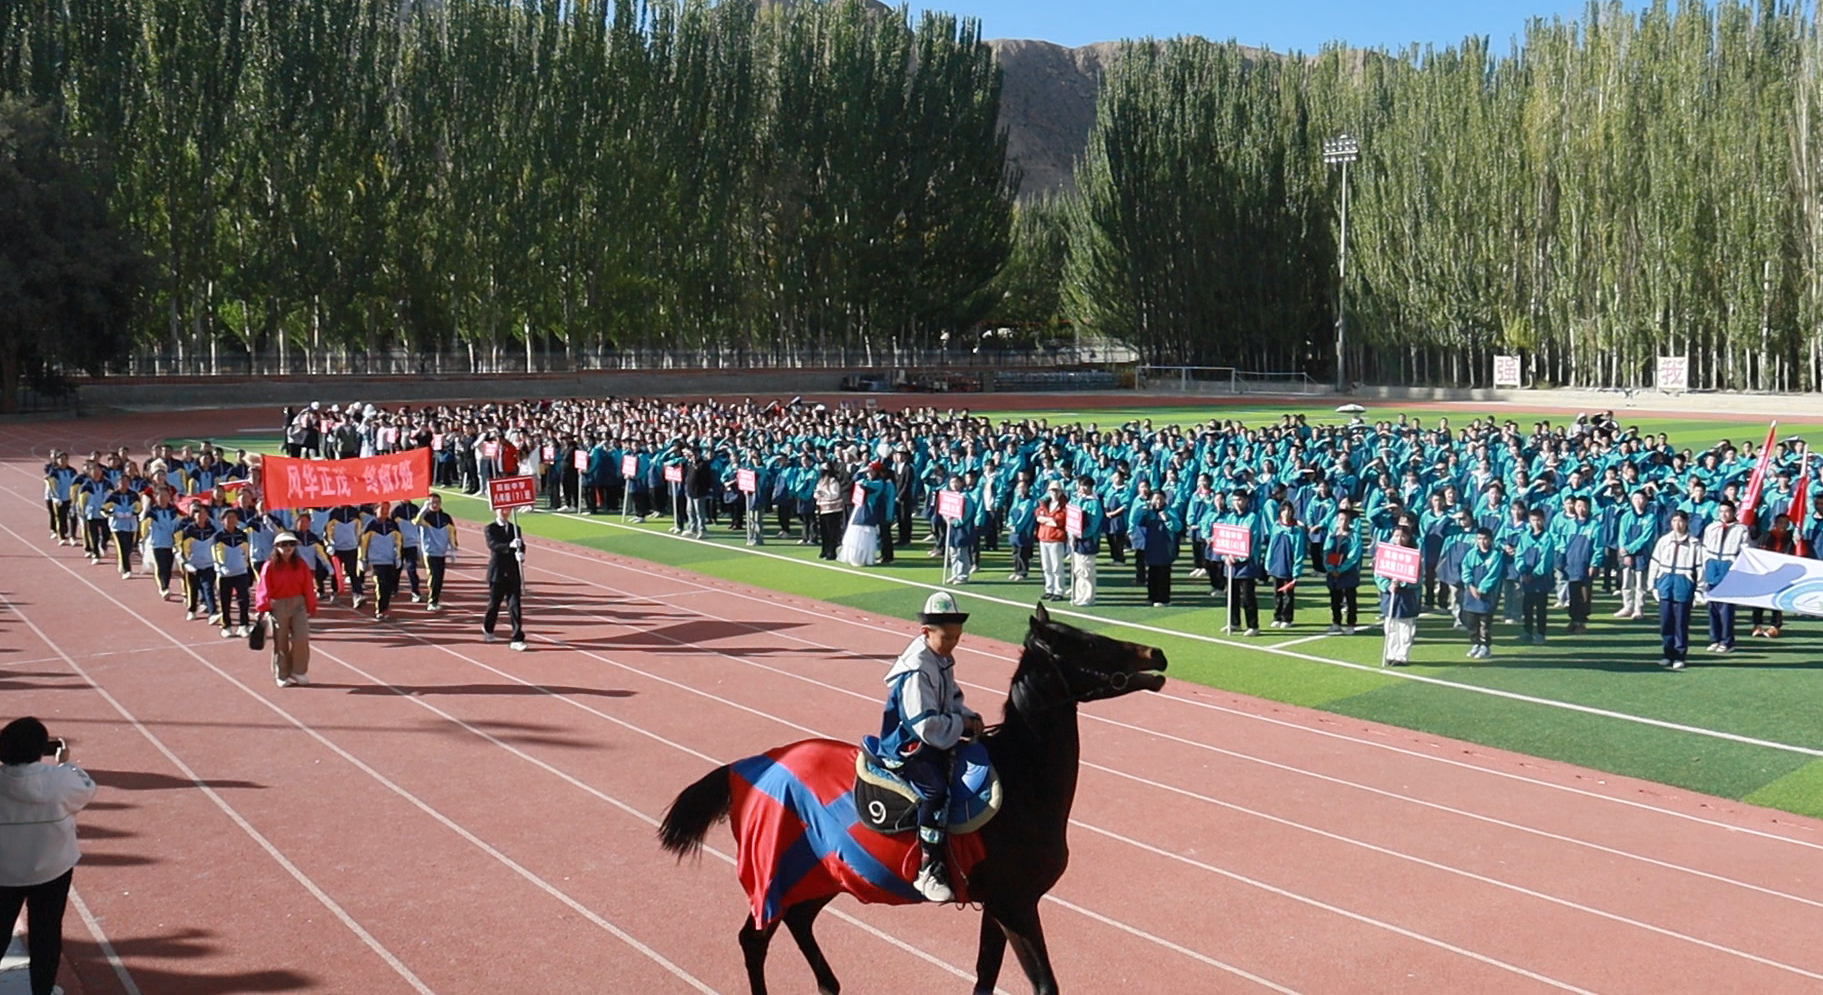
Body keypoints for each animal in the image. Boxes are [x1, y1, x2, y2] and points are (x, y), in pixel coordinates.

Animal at [656, 601, 1166, 984]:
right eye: (1088, 643)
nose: (1158, 654)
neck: (1024, 782)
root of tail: (748, 767)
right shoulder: (1016, 905)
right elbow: (1043, 983)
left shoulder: (999, 907)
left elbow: (985, 975)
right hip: (776, 876)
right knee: (754, 939)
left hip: (824, 872)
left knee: (799, 921)